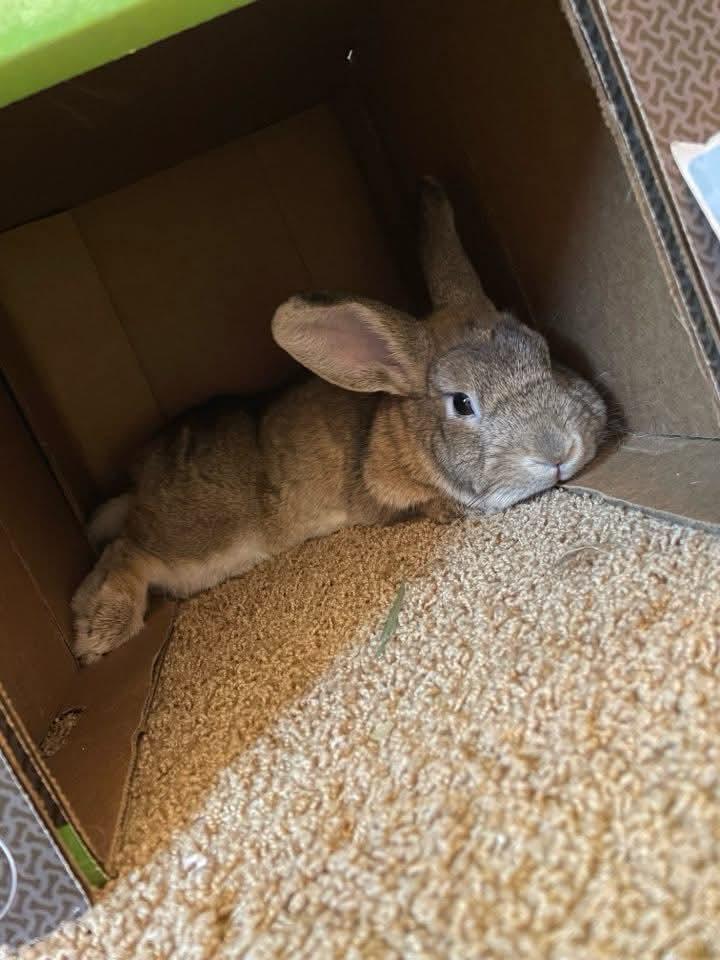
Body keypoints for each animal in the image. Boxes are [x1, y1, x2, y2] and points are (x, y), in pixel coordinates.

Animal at [71, 179, 606, 665]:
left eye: (544, 352)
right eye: (461, 403)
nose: (559, 452)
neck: (404, 430)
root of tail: (140, 481)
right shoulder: (381, 486)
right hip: (202, 545)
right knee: (126, 550)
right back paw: (96, 632)